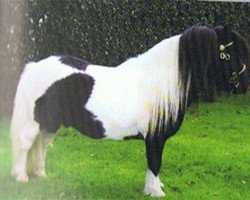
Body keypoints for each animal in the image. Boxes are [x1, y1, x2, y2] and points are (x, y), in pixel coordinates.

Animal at [10, 25, 248, 197]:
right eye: (227, 54)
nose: (245, 85)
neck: (161, 82)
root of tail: (34, 66)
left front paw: (155, 187)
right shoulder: (154, 138)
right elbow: (155, 162)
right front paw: (155, 191)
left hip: (50, 123)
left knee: (42, 145)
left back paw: (41, 175)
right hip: (34, 122)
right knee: (26, 144)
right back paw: (21, 177)